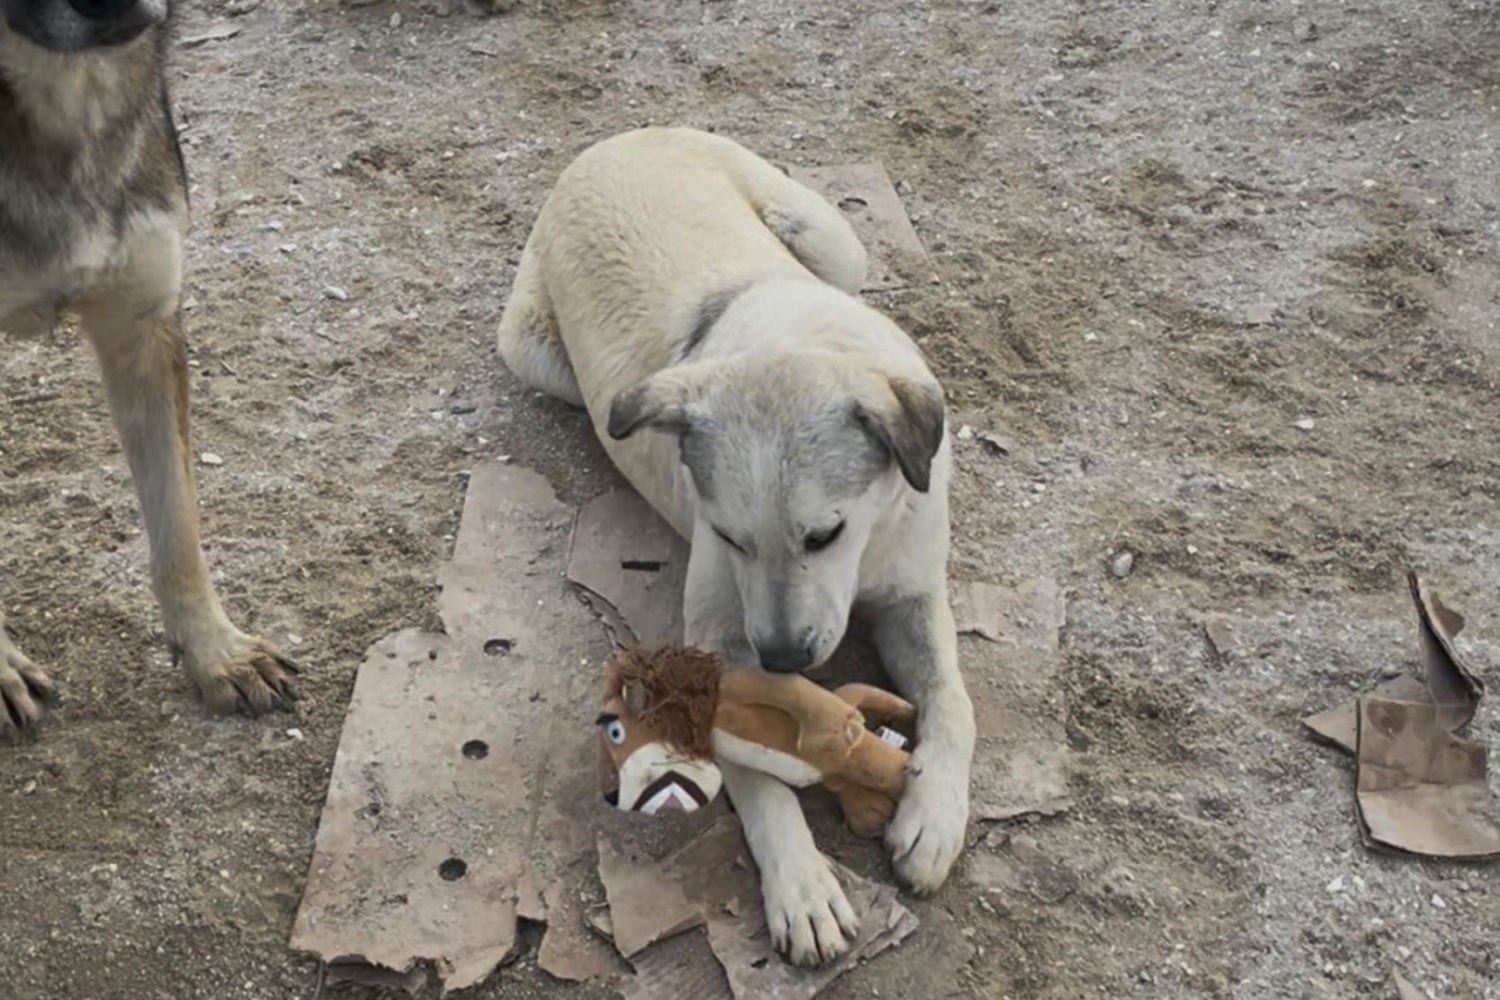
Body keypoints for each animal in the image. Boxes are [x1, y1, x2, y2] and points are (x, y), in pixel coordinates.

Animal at [497, 127, 976, 967]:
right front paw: (803, 887)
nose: (782, 660)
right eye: (728, 536)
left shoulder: (916, 594)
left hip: (831, 238)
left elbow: (954, 699)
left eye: (825, 533)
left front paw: (934, 814)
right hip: (538, 358)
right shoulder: (720, 643)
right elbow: (755, 770)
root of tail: (621, 135)